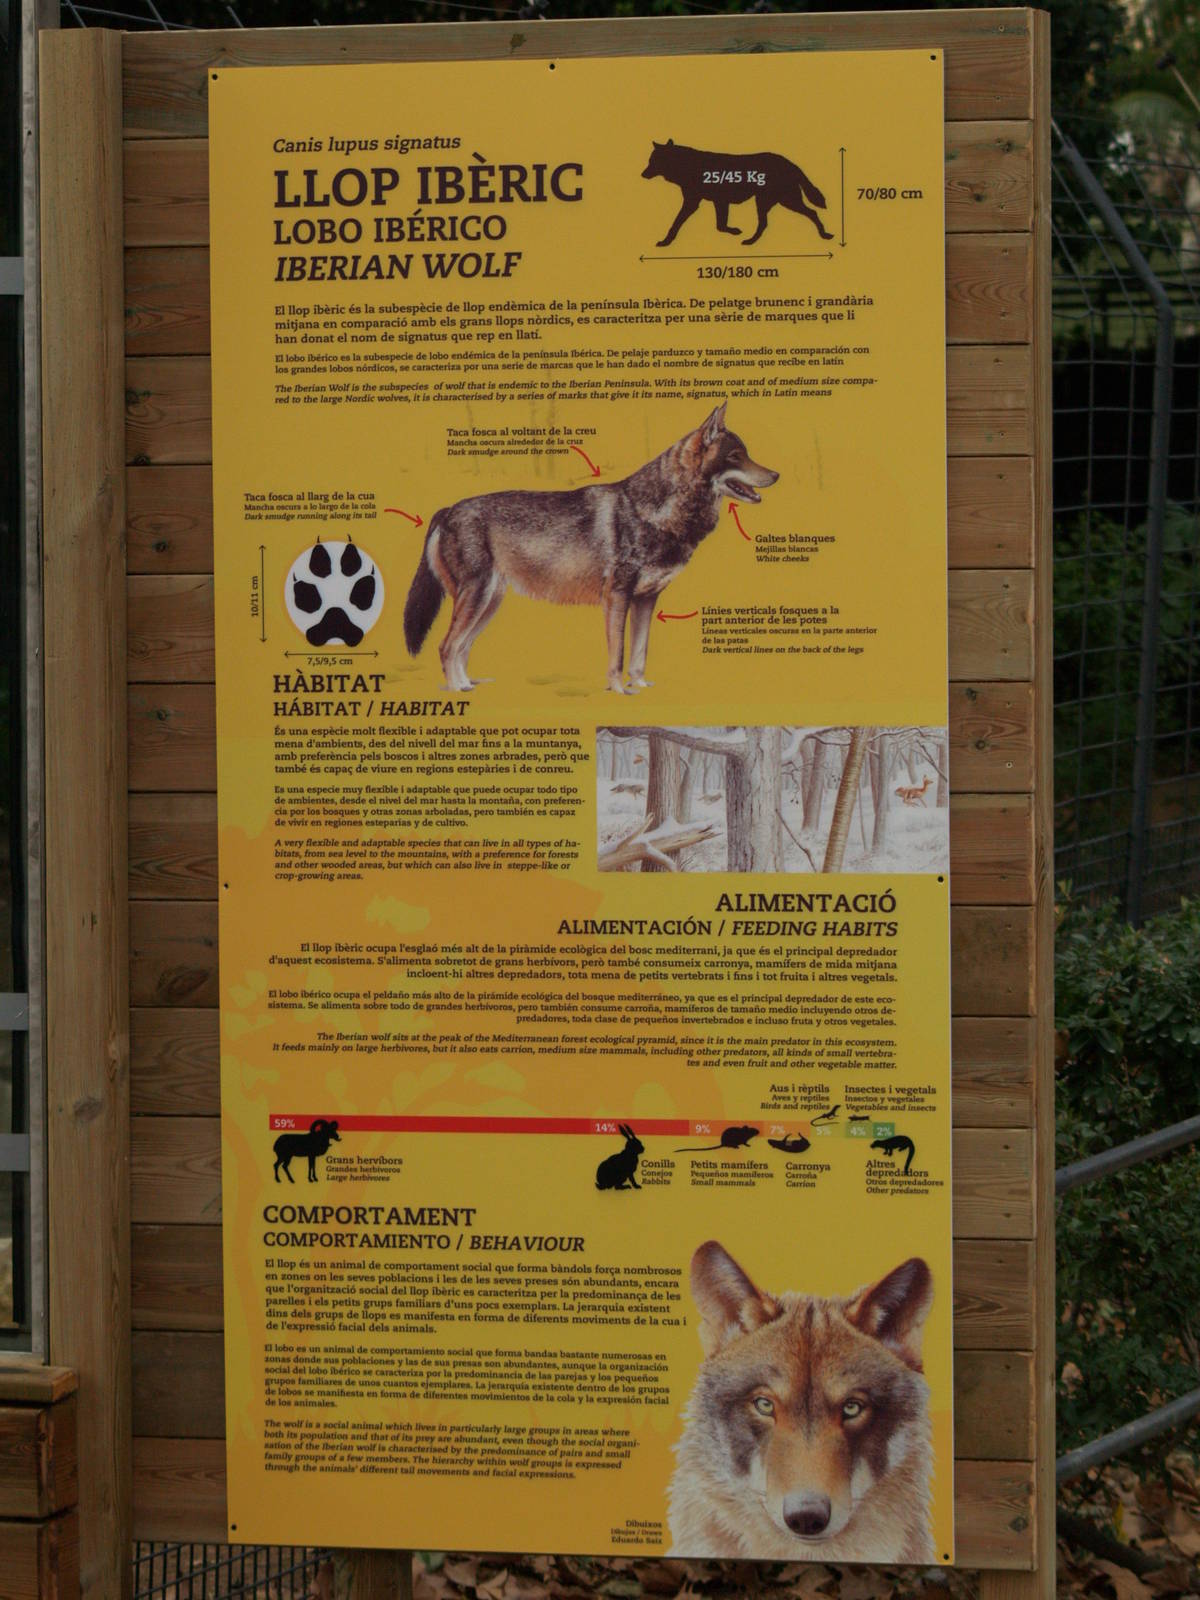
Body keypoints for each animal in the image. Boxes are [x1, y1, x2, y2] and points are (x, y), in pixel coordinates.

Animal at [403, 404, 777, 694]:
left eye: (746, 454)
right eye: (736, 456)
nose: (775, 475)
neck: (659, 514)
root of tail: (448, 509)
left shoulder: (646, 600)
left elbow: (639, 655)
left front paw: (640, 688)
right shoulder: (617, 597)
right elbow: (619, 654)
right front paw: (619, 691)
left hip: (488, 603)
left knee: (461, 648)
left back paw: (466, 685)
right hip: (477, 599)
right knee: (447, 646)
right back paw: (456, 691)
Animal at [642, 140, 834, 248]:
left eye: (652, 161)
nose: (642, 174)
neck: (687, 165)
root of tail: (791, 163)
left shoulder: (692, 203)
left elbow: (676, 222)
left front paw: (666, 241)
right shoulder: (720, 202)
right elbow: (720, 226)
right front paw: (733, 231)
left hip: (784, 201)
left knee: (810, 213)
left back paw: (824, 234)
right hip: (772, 201)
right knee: (766, 223)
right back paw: (752, 241)